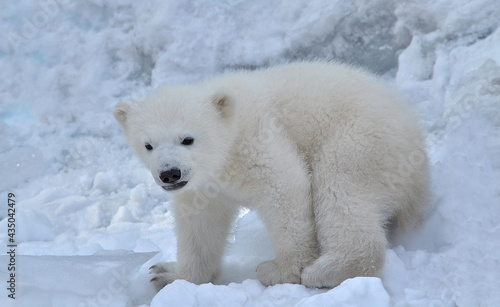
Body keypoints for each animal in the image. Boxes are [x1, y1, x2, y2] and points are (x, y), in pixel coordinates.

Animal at [114, 60, 430, 292]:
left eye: (187, 139)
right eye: (148, 145)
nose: (169, 173)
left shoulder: (257, 138)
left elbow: (283, 187)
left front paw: (283, 270)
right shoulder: (202, 185)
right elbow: (201, 224)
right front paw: (167, 274)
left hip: (362, 141)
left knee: (340, 190)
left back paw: (324, 271)